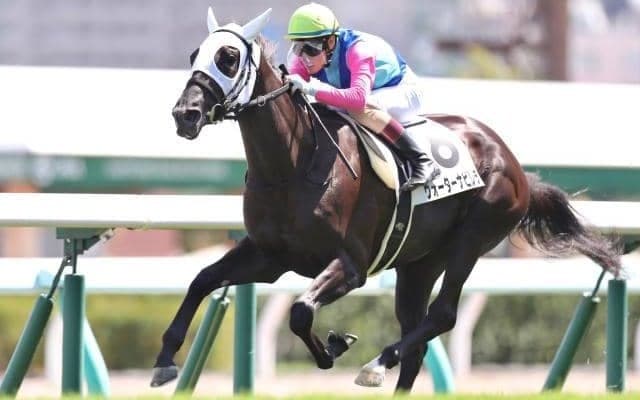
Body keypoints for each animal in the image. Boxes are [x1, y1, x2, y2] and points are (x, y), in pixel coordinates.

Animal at [151, 8, 621, 393]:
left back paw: (377, 363)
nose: (185, 115)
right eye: (194, 55)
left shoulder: (351, 265)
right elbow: (202, 280)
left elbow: (301, 311)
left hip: (472, 238)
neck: (292, 165)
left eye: (228, 57)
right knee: (418, 336)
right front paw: (164, 362)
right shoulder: (269, 256)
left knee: (443, 315)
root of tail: (515, 164)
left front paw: (335, 347)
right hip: (419, 262)